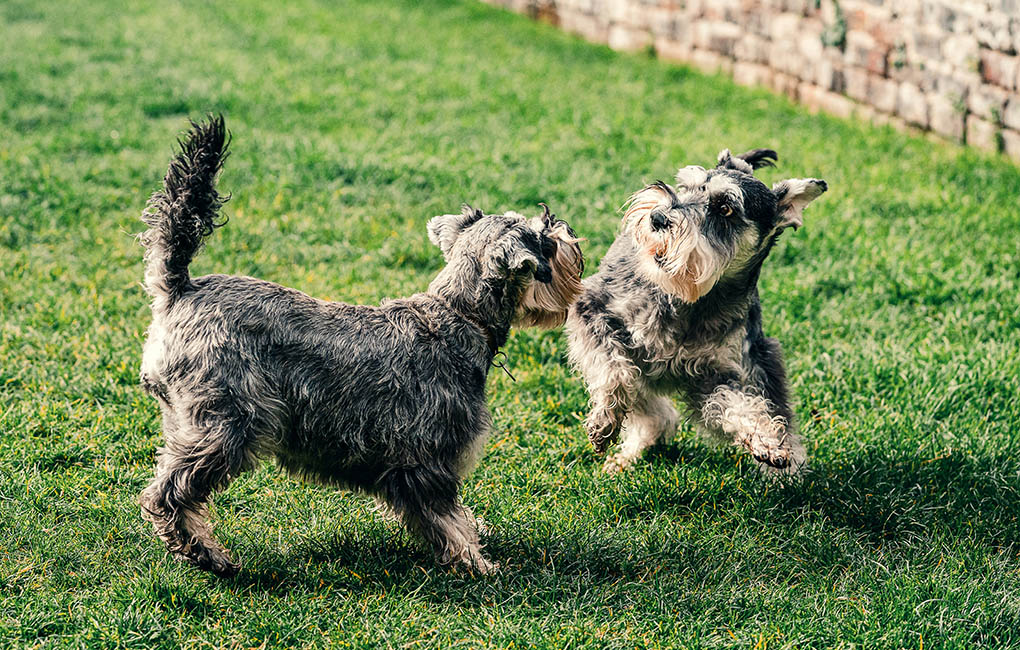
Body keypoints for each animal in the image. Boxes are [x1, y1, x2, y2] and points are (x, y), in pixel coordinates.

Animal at [136, 116, 583, 571]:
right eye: (542, 238)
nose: (564, 228)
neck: (459, 314)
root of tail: (180, 289)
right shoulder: (429, 461)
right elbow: (448, 519)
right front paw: (477, 564)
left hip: (186, 422)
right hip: (229, 426)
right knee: (168, 494)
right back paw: (207, 554)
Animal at [567, 147, 828, 471]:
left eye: (725, 208)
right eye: (686, 187)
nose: (658, 217)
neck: (691, 301)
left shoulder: (715, 375)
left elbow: (737, 404)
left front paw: (766, 439)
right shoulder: (592, 310)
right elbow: (614, 370)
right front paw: (604, 421)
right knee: (651, 408)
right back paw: (625, 456)